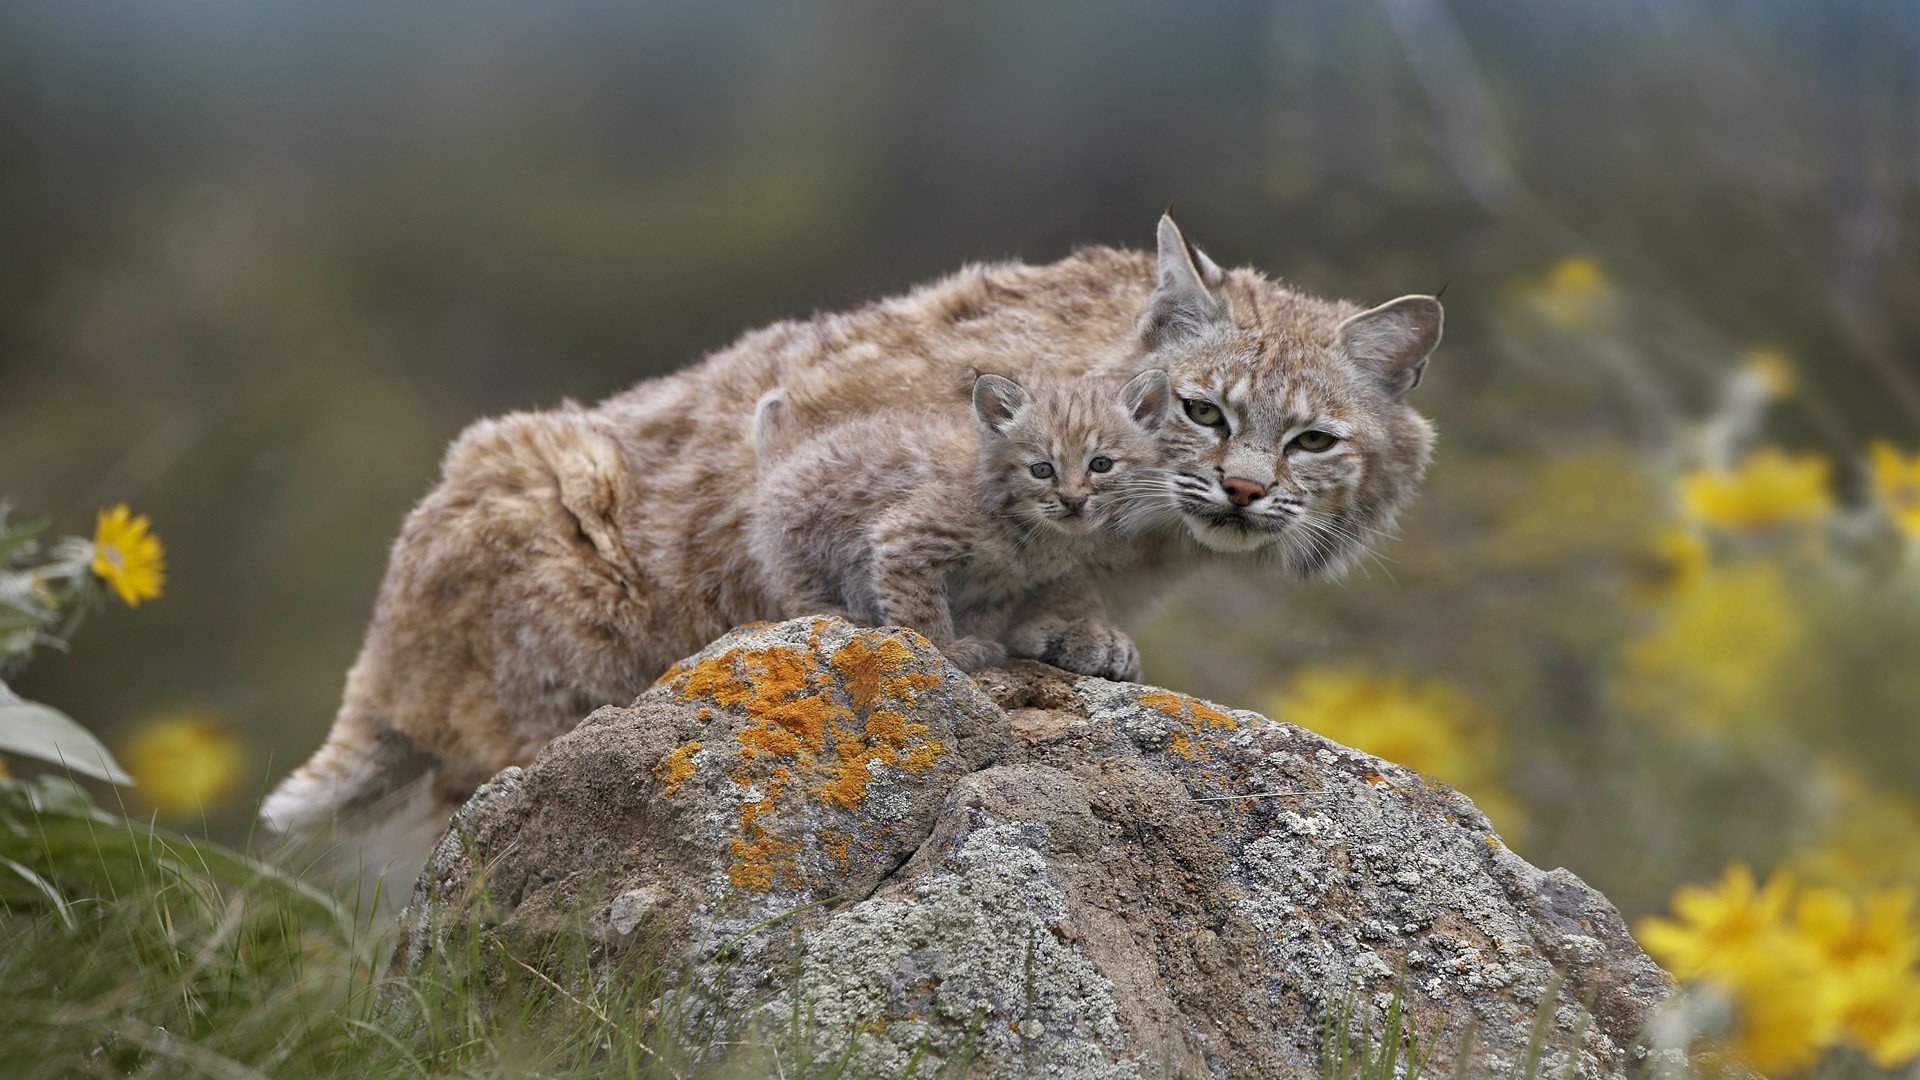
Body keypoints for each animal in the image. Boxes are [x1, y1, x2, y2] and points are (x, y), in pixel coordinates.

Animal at [748, 368, 1167, 668]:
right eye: (1042, 470)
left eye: (1102, 465)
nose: (1074, 501)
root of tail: (785, 456)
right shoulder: (902, 538)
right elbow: (920, 609)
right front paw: (944, 652)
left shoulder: (1000, 582)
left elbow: (983, 616)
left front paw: (976, 642)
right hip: (805, 542)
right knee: (798, 594)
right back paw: (841, 616)